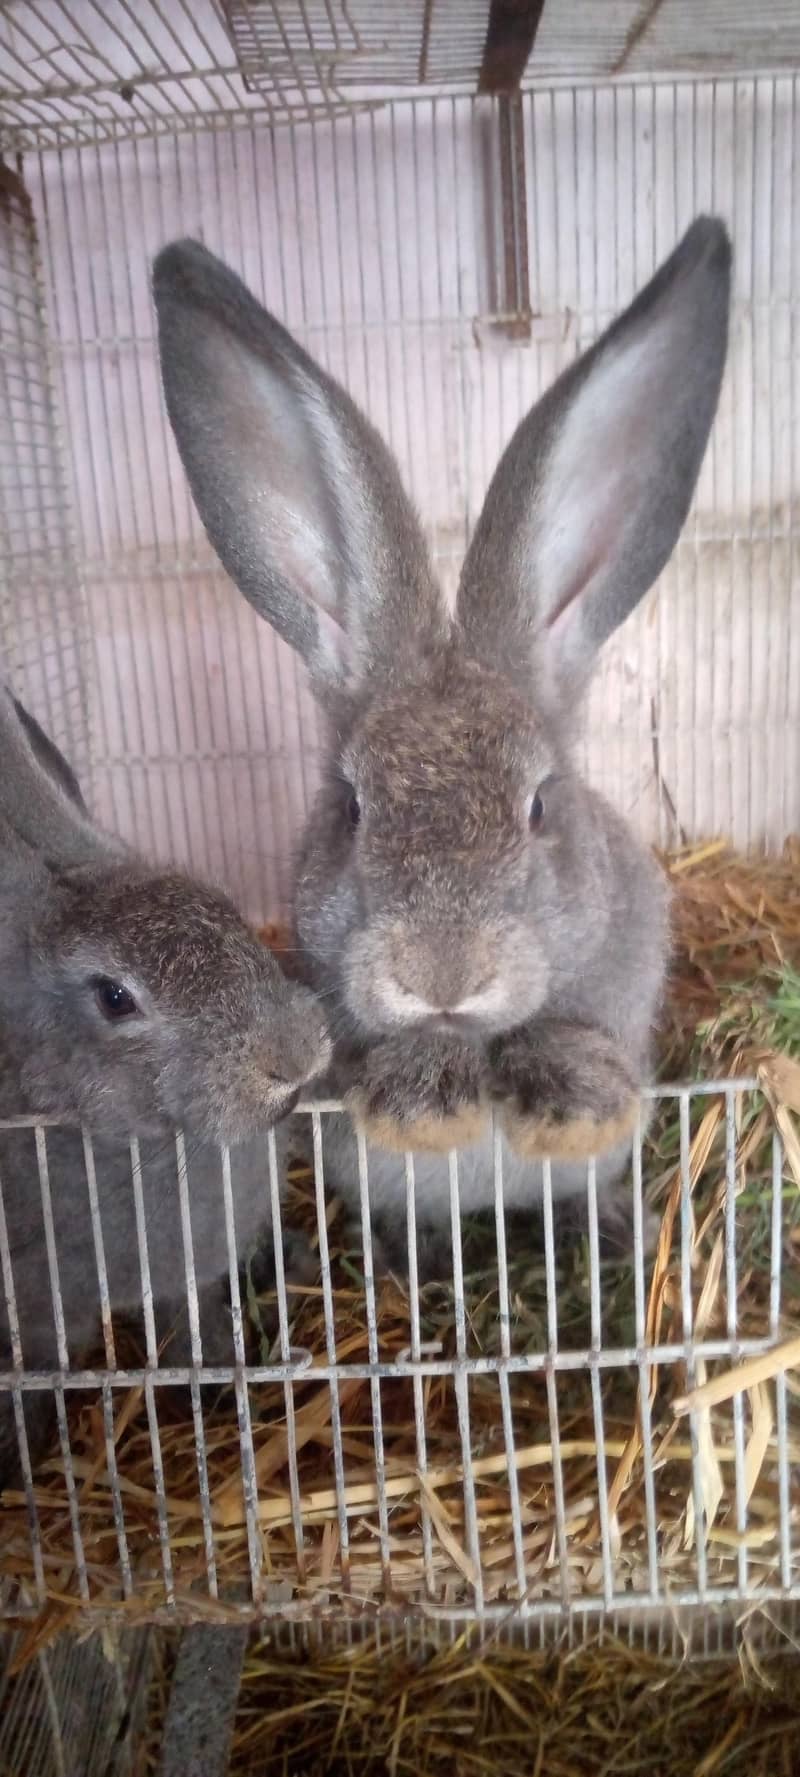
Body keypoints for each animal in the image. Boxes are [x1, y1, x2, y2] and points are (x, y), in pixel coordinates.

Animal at [0, 687, 330, 1479]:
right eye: (116, 998)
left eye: (226, 909)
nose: (293, 1059)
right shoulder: (33, 1302)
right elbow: (41, 1365)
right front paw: (20, 1446)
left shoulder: (192, 1270)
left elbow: (197, 1318)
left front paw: (212, 1385)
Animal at [153, 218, 731, 1276]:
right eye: (352, 808)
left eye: (540, 804)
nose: (441, 975)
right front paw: (428, 1086)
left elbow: (581, 1038)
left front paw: (566, 1089)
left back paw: (615, 1229)